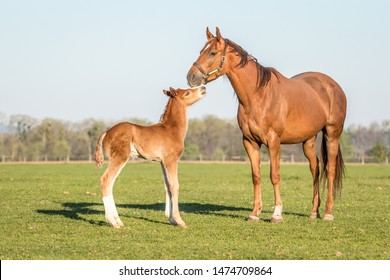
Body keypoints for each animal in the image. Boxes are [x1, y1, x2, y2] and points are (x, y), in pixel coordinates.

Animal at [93, 86, 207, 228]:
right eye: (187, 92)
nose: (203, 88)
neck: (171, 130)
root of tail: (107, 132)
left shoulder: (162, 162)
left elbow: (167, 186)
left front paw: (171, 219)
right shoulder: (171, 160)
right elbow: (174, 186)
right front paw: (179, 220)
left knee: (110, 183)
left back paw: (117, 220)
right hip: (120, 157)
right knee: (106, 180)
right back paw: (114, 221)